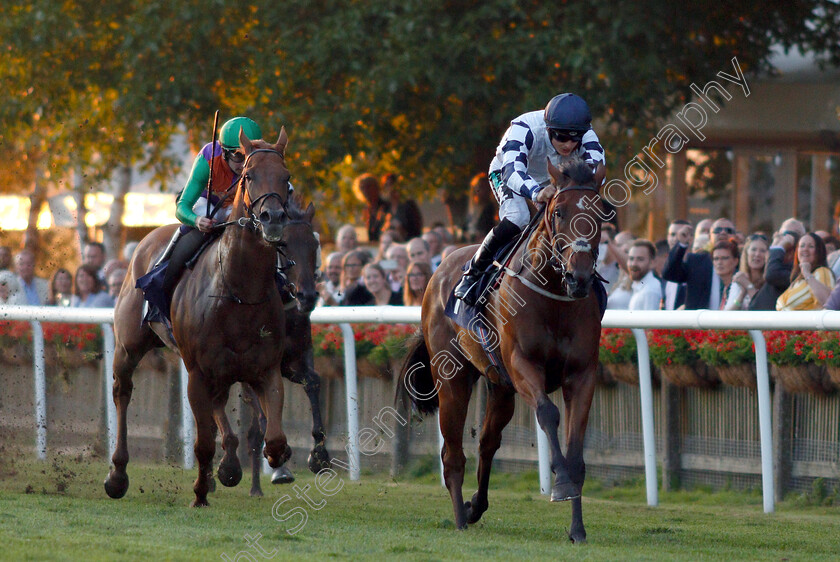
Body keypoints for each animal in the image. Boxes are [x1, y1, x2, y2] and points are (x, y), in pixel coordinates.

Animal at [105, 129, 296, 506]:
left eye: (286, 178)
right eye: (249, 176)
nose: (273, 218)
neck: (238, 290)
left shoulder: (264, 368)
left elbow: (275, 438)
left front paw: (267, 463)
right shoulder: (196, 372)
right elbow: (203, 442)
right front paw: (199, 493)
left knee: (220, 406)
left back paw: (229, 466)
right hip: (129, 345)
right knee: (123, 391)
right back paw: (117, 475)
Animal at [402, 156, 604, 540]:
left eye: (603, 212)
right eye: (558, 212)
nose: (579, 277)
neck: (553, 296)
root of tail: (439, 270)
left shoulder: (582, 375)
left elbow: (576, 451)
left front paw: (578, 529)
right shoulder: (523, 364)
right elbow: (548, 414)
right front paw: (560, 485)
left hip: (500, 387)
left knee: (487, 442)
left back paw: (474, 507)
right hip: (452, 378)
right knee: (453, 456)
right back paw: (460, 519)